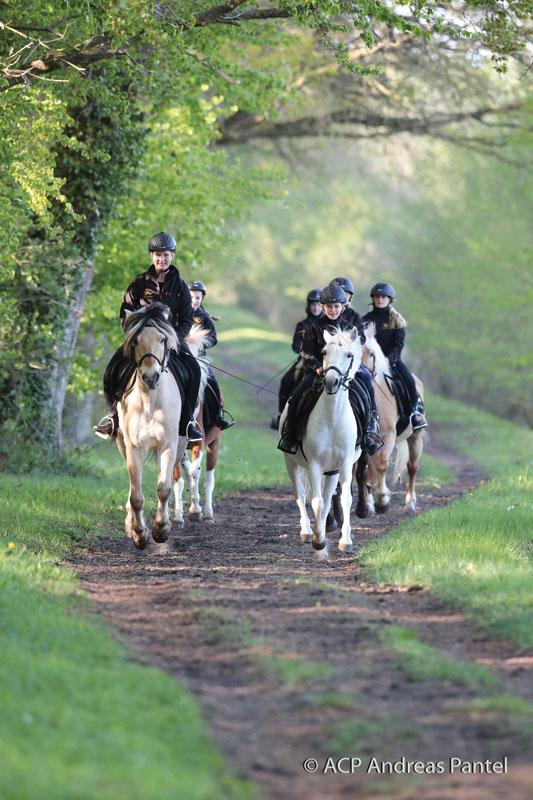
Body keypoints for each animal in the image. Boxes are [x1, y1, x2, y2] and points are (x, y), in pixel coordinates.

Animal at [362, 324, 424, 516]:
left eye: (372, 353)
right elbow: (364, 471)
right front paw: (369, 504)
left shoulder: (387, 435)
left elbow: (382, 465)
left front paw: (382, 501)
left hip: (415, 436)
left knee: (412, 467)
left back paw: (409, 504)